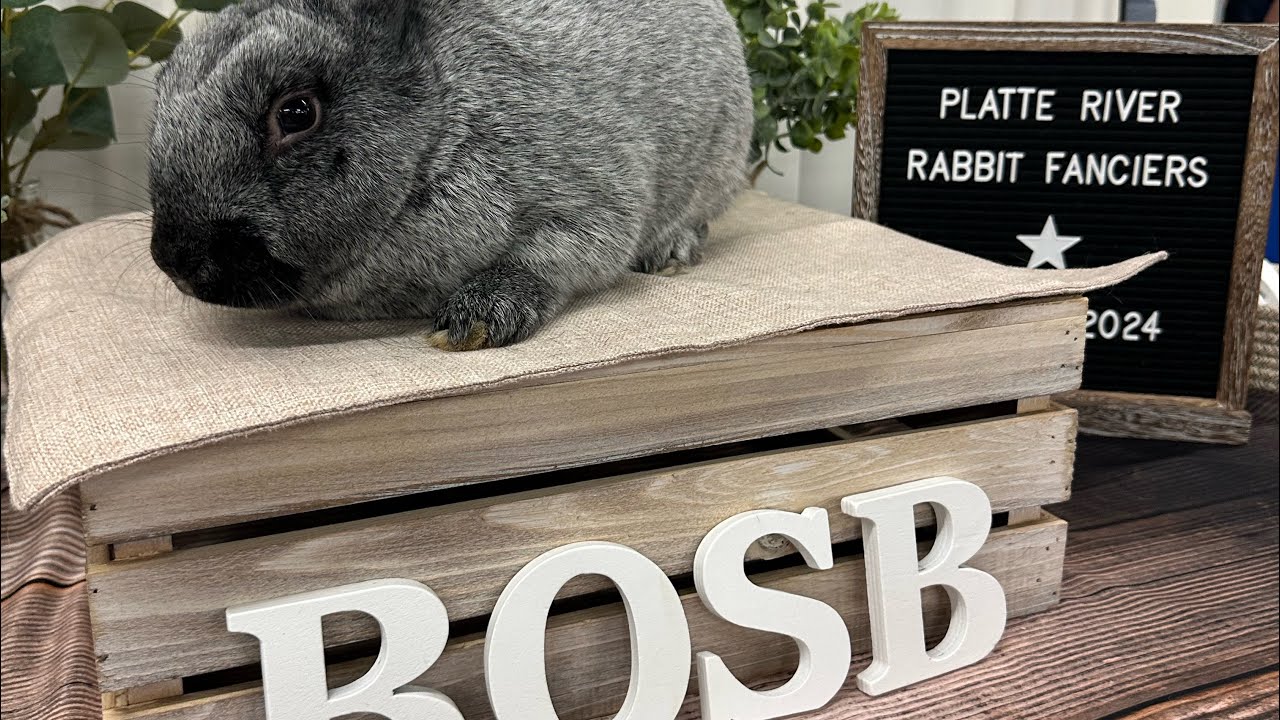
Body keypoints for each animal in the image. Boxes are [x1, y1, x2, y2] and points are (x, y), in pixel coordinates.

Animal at [147, 0, 753, 350]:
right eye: (163, 88)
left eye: (296, 112)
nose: (175, 261)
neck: (438, 128)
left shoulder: (592, 201)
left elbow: (554, 259)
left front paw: (474, 323)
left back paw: (670, 253)